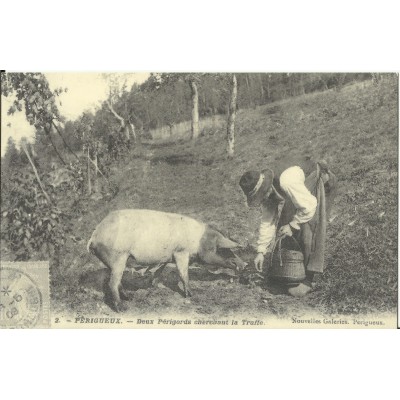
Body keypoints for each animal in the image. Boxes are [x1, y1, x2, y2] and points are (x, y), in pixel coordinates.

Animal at [87, 209, 245, 312]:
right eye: (221, 249)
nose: (244, 263)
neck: (198, 241)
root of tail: (95, 236)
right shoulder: (181, 252)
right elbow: (183, 273)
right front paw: (191, 295)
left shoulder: (167, 257)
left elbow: (160, 270)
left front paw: (154, 284)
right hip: (118, 257)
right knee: (112, 283)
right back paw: (122, 308)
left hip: (112, 262)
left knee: (116, 281)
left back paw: (129, 297)